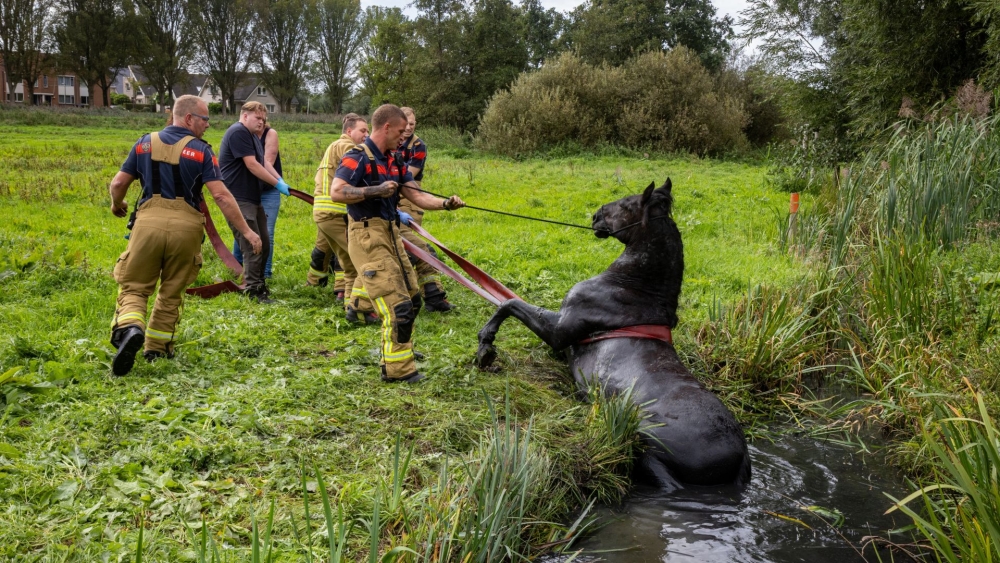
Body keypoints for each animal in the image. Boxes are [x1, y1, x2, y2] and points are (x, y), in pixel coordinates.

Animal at [475, 178, 750, 488]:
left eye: (628, 204)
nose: (596, 216)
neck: (631, 287)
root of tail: (739, 457)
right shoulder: (563, 341)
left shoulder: (558, 330)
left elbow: (508, 303)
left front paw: (486, 345)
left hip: (645, 436)